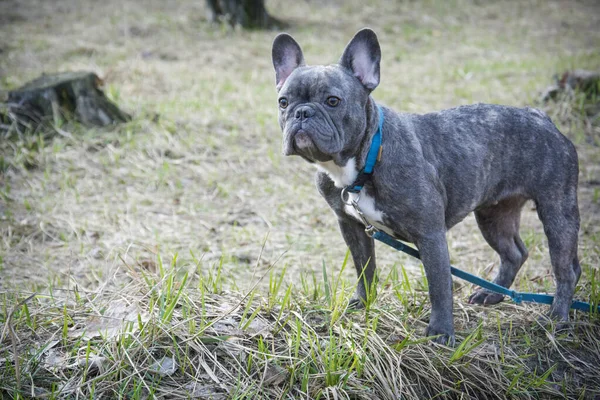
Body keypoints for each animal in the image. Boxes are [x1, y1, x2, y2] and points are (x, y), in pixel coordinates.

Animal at [272, 28, 580, 344]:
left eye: (333, 101)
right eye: (283, 102)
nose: (302, 113)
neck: (365, 160)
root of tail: (541, 117)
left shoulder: (430, 234)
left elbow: (439, 284)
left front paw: (441, 332)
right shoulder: (352, 226)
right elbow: (364, 268)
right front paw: (362, 303)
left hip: (556, 210)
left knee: (565, 268)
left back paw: (557, 315)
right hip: (493, 216)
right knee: (514, 253)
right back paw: (491, 295)